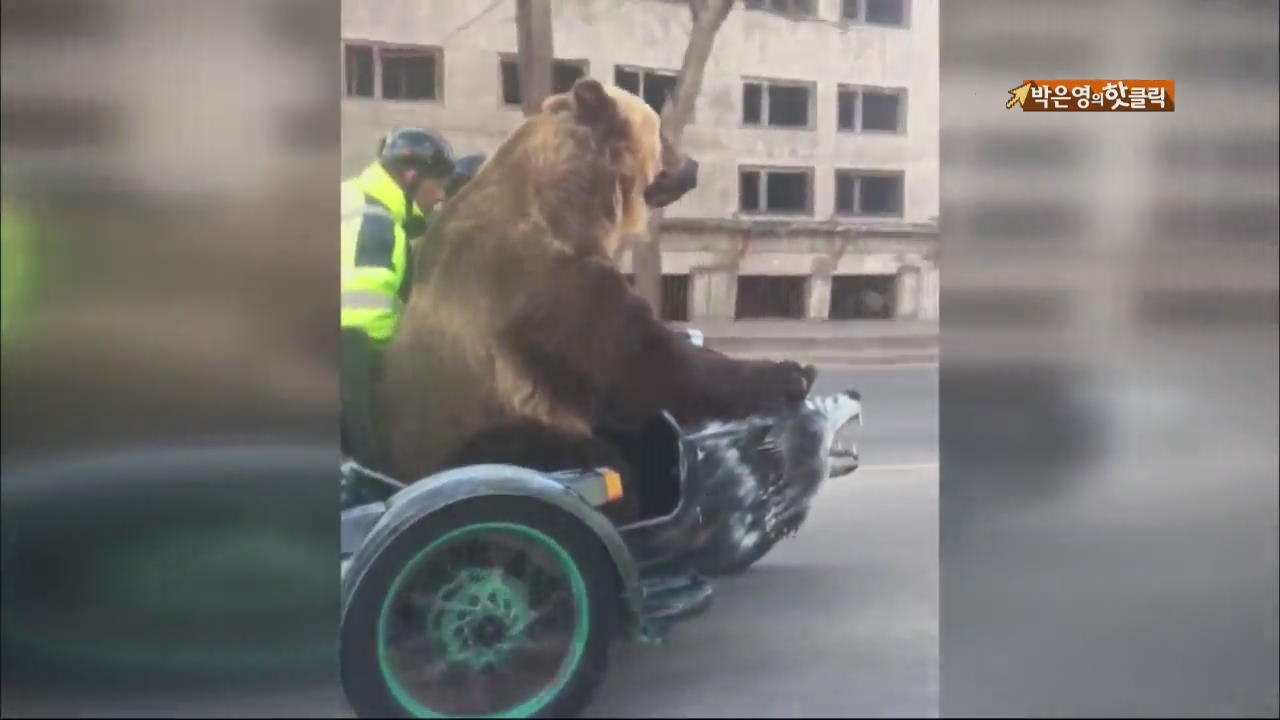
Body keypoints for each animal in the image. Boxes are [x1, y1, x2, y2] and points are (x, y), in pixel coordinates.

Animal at [376, 77, 808, 491]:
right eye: (661, 132)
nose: (694, 166)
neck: (574, 205)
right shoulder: (551, 293)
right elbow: (647, 366)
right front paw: (789, 373)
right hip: (478, 438)